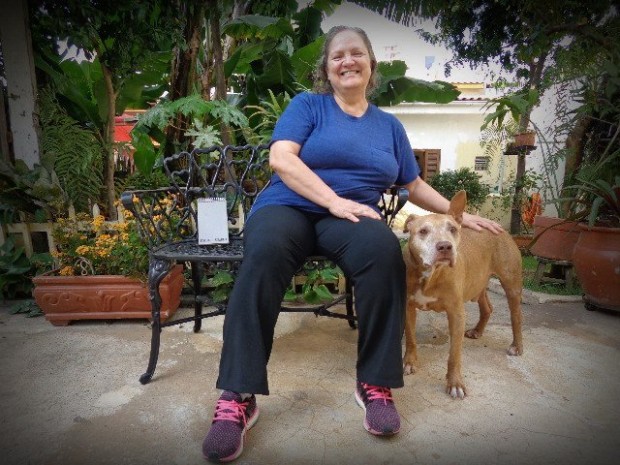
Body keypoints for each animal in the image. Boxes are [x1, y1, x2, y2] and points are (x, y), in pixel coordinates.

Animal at [402, 190, 524, 396]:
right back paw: (477, 331)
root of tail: (499, 229)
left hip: (511, 285)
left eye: (452, 229)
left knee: (516, 316)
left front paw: (455, 383)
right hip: (479, 282)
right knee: (487, 308)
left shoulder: (456, 314)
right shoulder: (407, 307)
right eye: (423, 231)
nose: (445, 246)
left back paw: (516, 346)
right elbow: (411, 338)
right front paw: (409, 363)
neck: (431, 274)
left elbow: (454, 354)